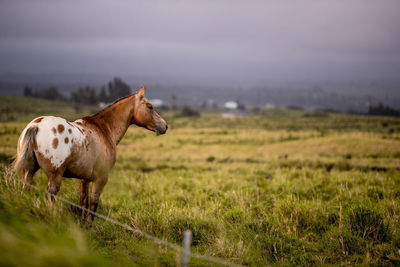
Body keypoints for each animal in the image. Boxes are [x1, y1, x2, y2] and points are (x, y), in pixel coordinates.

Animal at [13, 86, 167, 222]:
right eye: (150, 106)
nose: (165, 126)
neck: (104, 130)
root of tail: (36, 126)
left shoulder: (84, 179)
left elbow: (83, 202)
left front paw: (83, 224)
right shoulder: (101, 178)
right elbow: (93, 204)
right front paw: (90, 225)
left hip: (28, 171)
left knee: (26, 189)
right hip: (54, 176)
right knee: (50, 197)